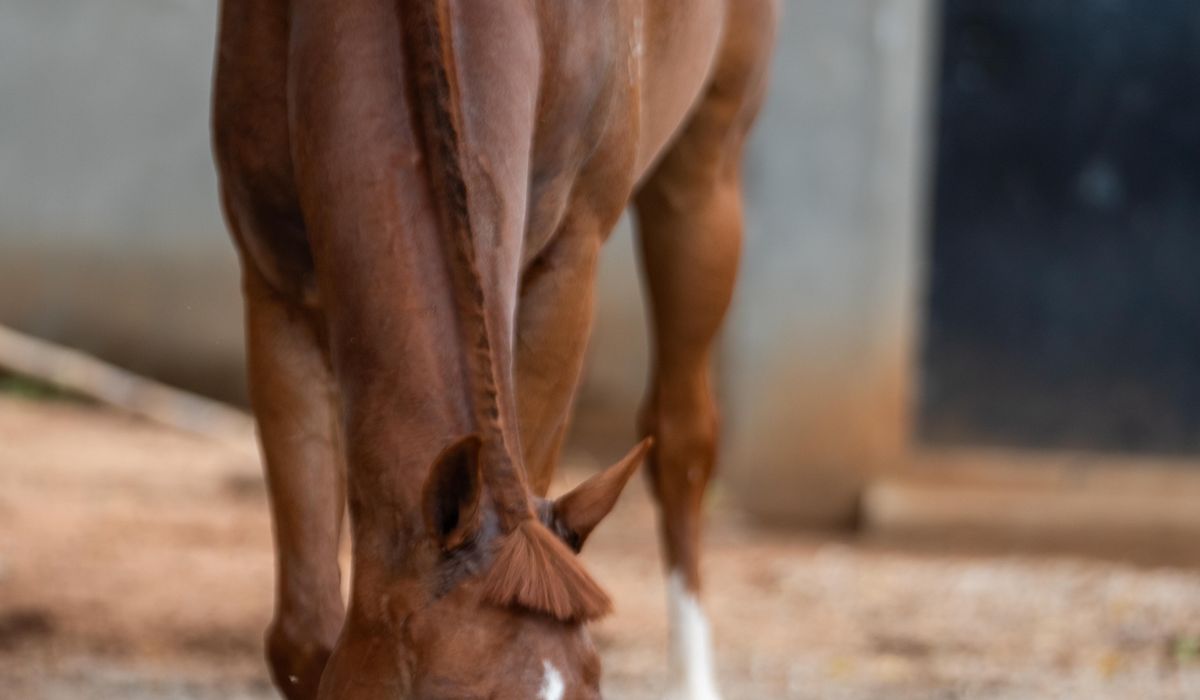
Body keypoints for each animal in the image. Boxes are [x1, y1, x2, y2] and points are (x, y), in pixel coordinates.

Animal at [212, 1, 776, 697]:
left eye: (595, 687)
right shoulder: (277, 285)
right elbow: (304, 636)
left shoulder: (566, 269)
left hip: (707, 165)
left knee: (681, 438)